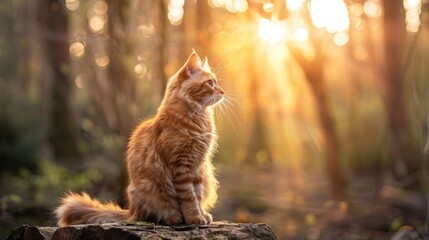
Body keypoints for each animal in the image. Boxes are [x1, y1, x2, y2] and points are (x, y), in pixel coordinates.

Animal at [55, 50, 222, 225]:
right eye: (210, 83)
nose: (222, 92)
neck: (196, 116)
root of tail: (131, 210)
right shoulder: (182, 165)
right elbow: (189, 196)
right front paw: (194, 217)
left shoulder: (198, 166)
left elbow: (197, 193)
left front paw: (202, 214)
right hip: (151, 188)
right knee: (157, 213)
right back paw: (174, 218)